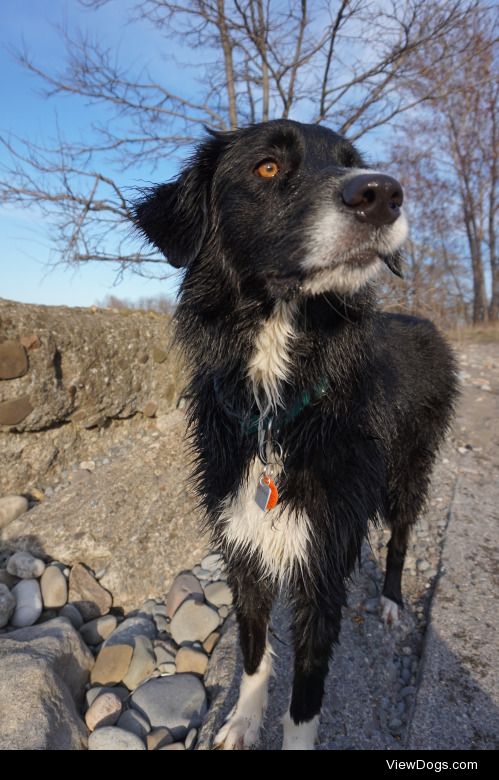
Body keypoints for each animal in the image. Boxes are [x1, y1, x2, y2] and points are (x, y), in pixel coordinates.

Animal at [132, 120, 458, 748]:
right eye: (267, 167)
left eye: (352, 161)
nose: (383, 193)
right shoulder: (243, 543)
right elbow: (255, 651)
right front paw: (240, 722)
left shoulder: (323, 563)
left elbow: (305, 697)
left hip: (409, 466)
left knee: (401, 535)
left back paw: (390, 602)